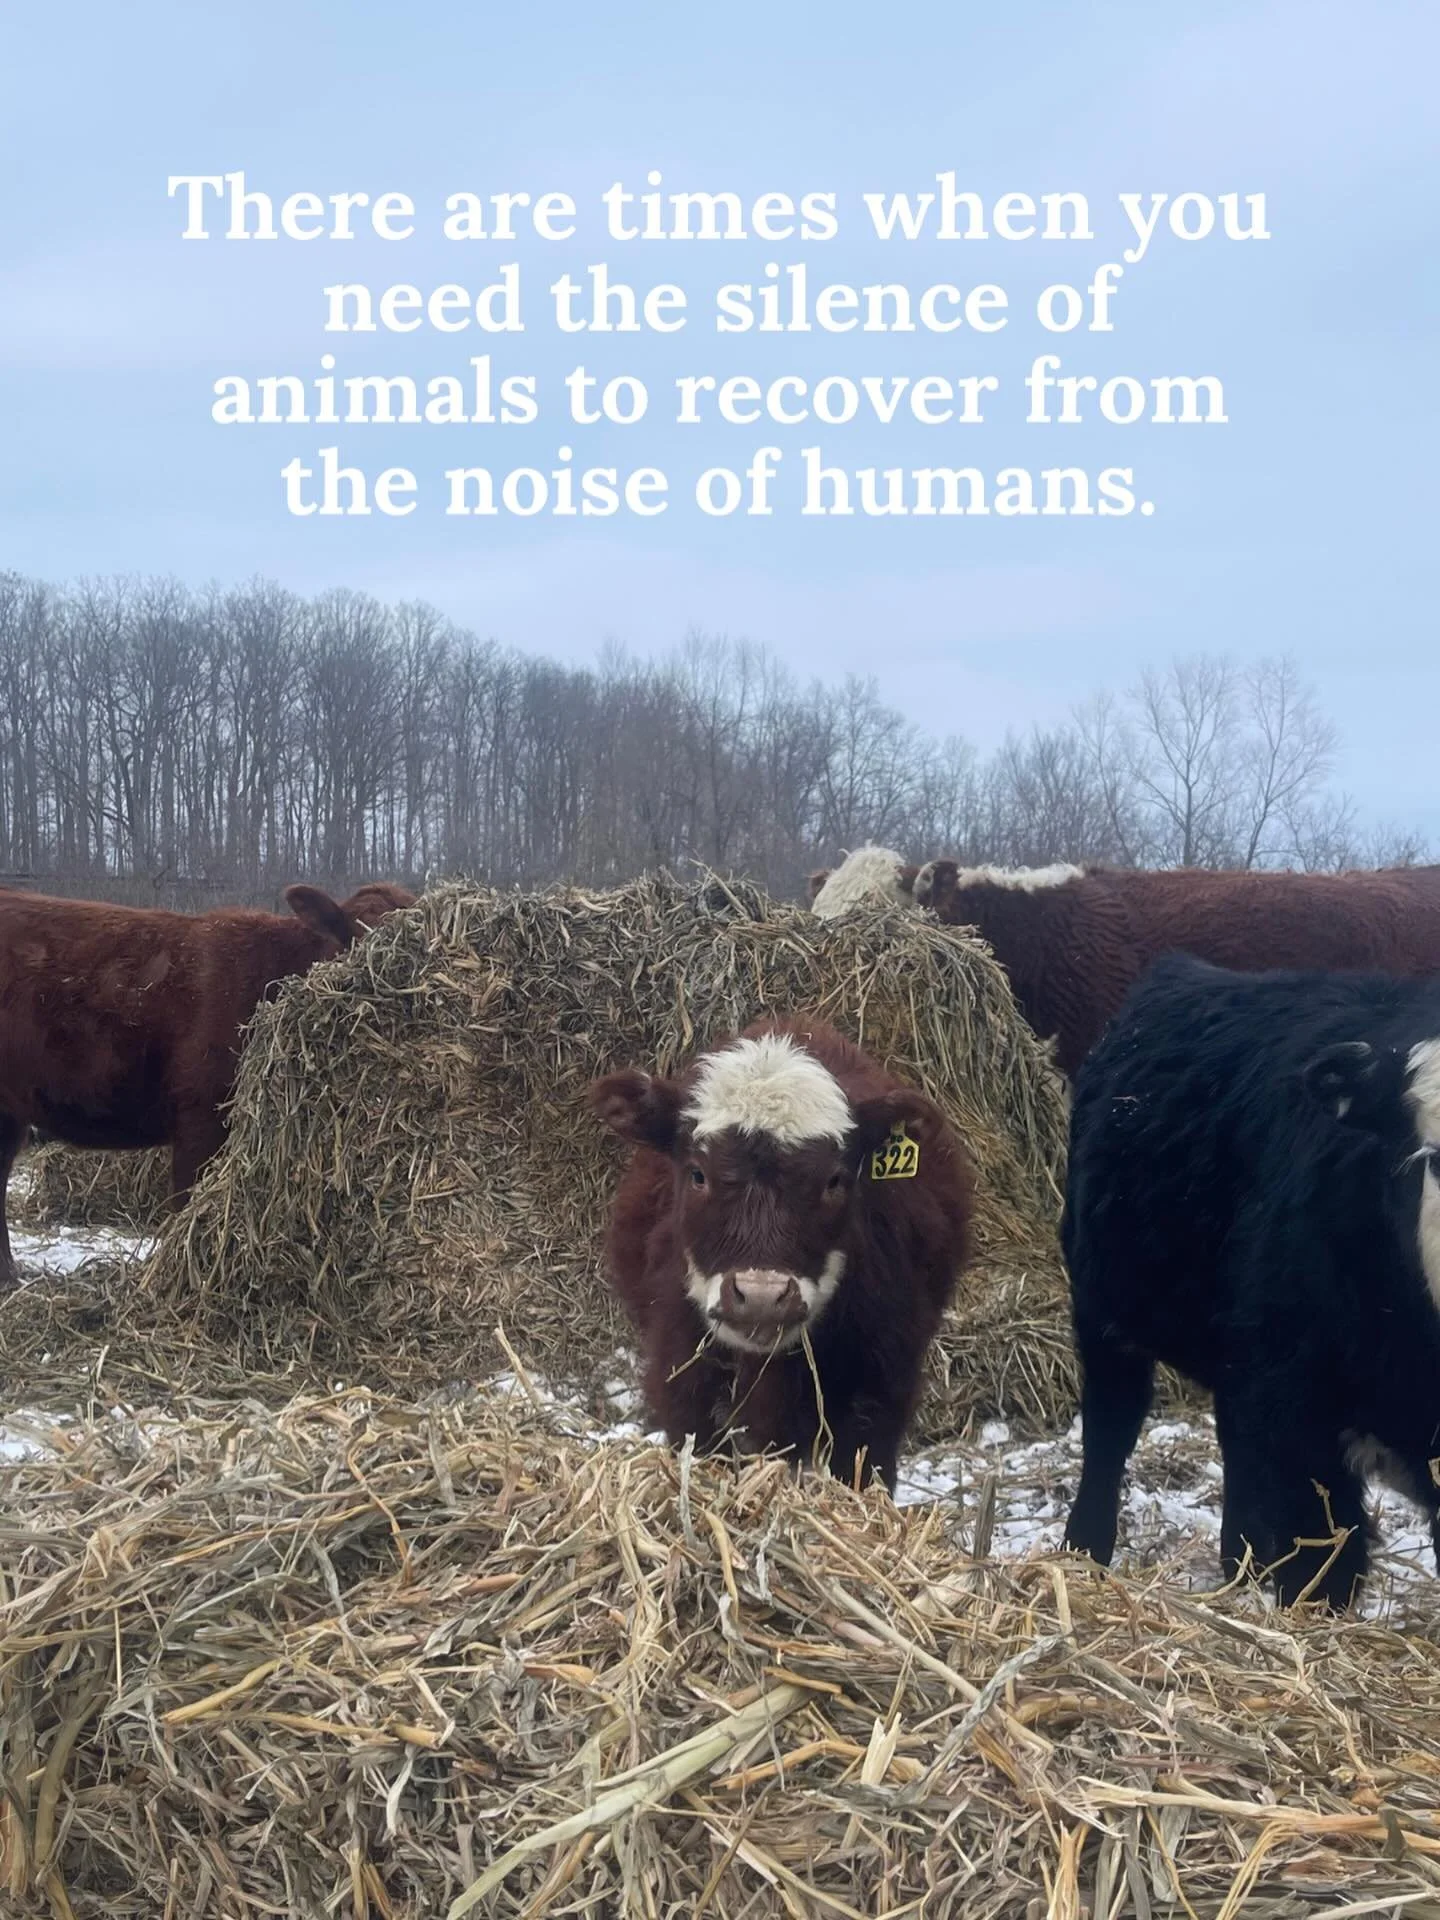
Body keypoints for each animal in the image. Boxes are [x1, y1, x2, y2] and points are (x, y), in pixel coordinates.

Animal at [1061, 952, 1440, 1608]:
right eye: (1438, 1159)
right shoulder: (1299, 1419)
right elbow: (1323, 1570)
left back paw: (1239, 1561)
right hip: (1105, 1313)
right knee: (1110, 1430)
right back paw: (1084, 1550)